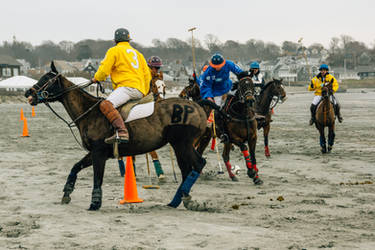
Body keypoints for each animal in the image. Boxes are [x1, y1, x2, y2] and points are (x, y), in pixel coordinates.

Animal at [25, 61, 220, 210]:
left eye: (47, 79)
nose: (29, 93)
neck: (89, 113)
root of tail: (198, 106)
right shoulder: (95, 152)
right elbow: (75, 167)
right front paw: (66, 193)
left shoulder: (99, 152)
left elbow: (97, 177)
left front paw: (95, 203)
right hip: (179, 146)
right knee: (187, 169)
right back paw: (178, 200)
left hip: (183, 144)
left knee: (198, 164)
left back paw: (182, 198)